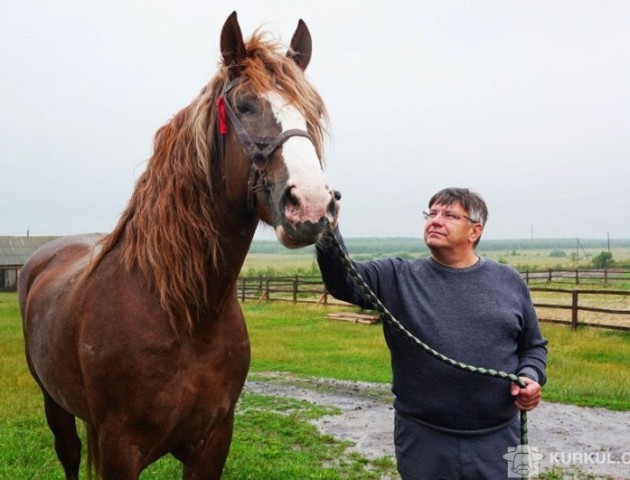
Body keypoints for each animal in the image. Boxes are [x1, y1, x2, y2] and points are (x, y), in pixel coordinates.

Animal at [17, 12, 338, 480]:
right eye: (245, 105)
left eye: (312, 112)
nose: (312, 205)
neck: (185, 316)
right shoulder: (120, 449)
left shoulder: (212, 444)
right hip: (53, 401)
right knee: (69, 453)